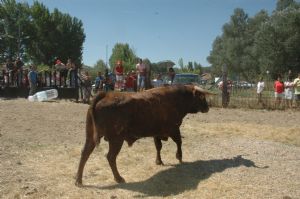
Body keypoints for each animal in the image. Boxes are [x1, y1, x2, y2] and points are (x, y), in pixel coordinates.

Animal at [75, 84, 211, 185]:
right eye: (201, 97)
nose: (207, 107)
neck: (177, 97)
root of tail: (106, 94)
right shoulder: (174, 129)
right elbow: (179, 142)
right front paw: (179, 157)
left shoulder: (157, 133)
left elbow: (158, 146)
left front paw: (159, 161)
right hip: (116, 140)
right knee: (110, 157)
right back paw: (119, 178)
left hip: (91, 137)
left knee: (85, 153)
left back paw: (78, 180)